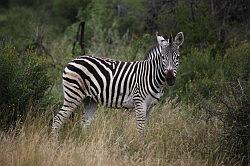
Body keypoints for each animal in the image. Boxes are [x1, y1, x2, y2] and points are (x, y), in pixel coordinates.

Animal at [51, 31, 184, 138]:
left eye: (177, 57)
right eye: (163, 57)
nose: (170, 78)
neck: (152, 76)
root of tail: (72, 60)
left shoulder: (151, 106)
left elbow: (145, 128)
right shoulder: (140, 102)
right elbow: (140, 128)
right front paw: (140, 146)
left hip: (90, 100)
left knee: (84, 123)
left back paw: (84, 142)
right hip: (73, 95)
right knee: (58, 119)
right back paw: (54, 142)